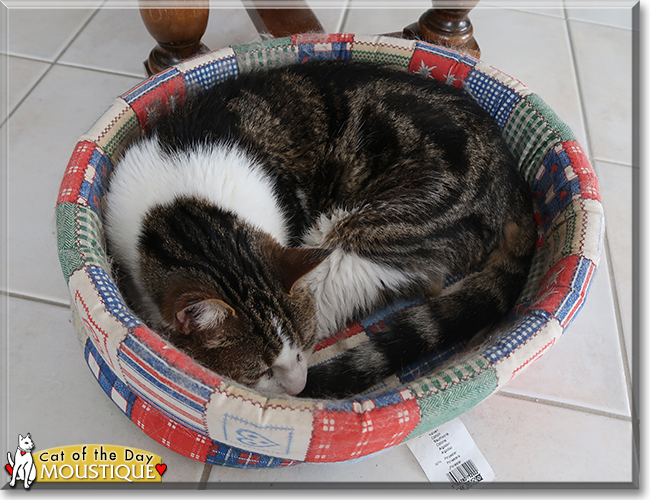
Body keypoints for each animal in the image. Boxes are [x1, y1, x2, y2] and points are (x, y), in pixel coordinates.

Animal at [104, 60, 536, 400]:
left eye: (303, 347)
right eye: (260, 368)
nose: (298, 387)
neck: (187, 207)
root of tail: (512, 176)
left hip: (361, 234)